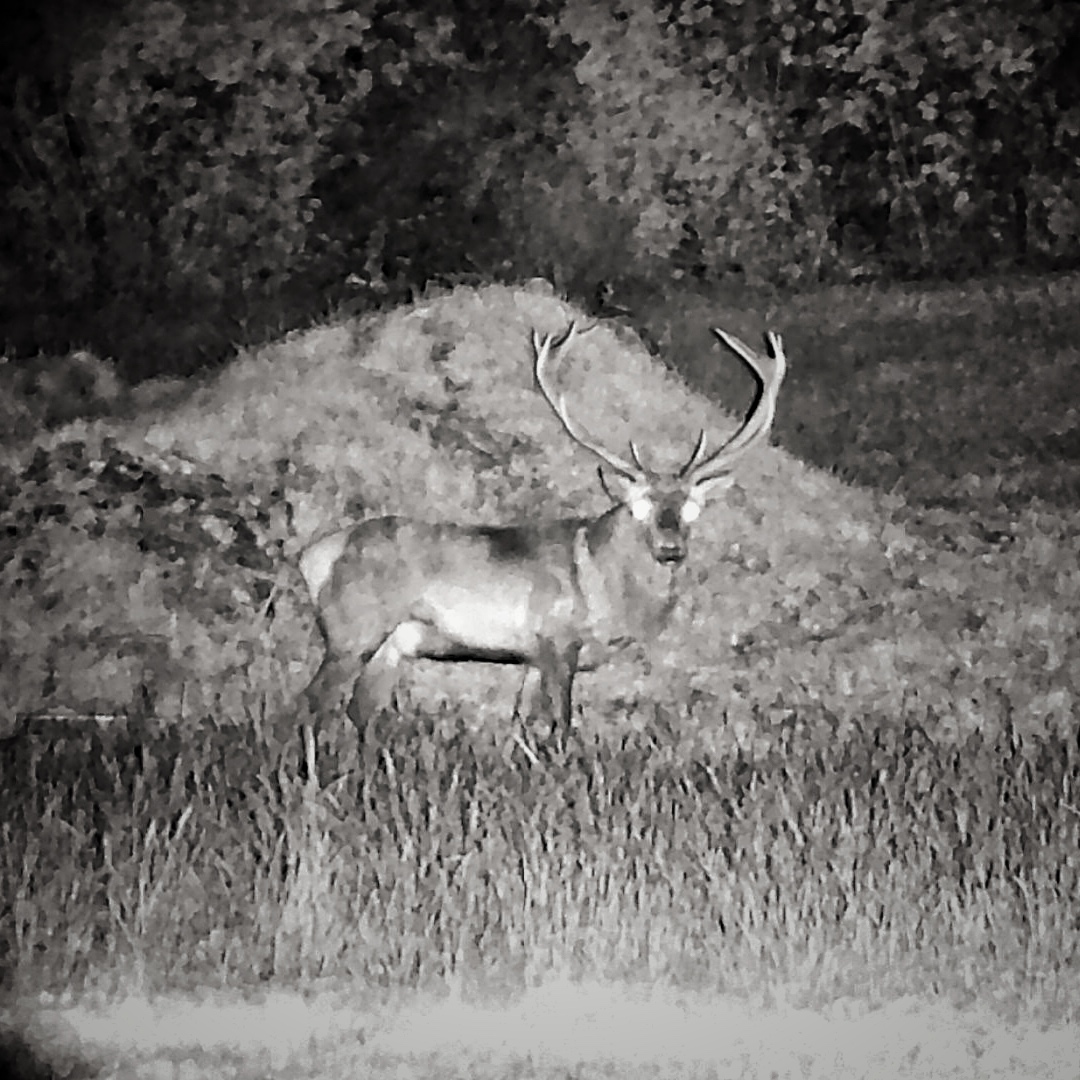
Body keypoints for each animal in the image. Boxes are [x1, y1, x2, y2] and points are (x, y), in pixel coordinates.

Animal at [296, 322, 786, 744]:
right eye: (639, 505)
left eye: (691, 508)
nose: (670, 548)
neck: (605, 592)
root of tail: (314, 556)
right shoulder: (556, 637)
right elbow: (562, 723)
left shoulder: (531, 655)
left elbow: (523, 721)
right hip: (353, 625)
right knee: (314, 700)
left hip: (393, 644)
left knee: (359, 710)